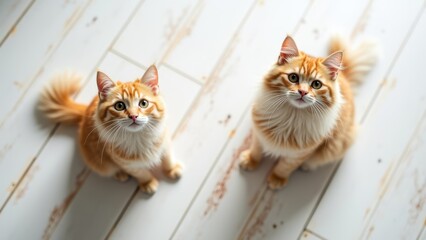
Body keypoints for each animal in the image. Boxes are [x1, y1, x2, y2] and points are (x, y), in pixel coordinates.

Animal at [40, 66, 185, 195]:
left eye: (143, 103)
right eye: (119, 106)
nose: (133, 116)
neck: (137, 137)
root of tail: (84, 113)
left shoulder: (165, 142)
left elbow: (168, 159)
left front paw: (172, 170)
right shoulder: (126, 163)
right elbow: (141, 173)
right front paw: (148, 183)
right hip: (102, 164)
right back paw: (120, 174)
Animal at [241, 35, 378, 189]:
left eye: (316, 84)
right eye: (293, 77)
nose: (302, 92)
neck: (291, 117)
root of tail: (343, 76)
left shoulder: (301, 153)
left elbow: (285, 166)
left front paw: (277, 179)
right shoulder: (259, 133)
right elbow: (256, 150)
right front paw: (250, 160)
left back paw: (306, 167)